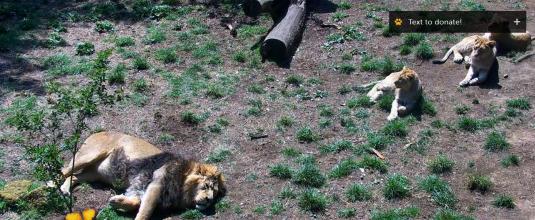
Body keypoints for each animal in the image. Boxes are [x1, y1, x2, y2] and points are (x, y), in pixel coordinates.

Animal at [60, 131, 226, 220]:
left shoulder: (142, 187)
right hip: (89, 156)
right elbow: (146, 210)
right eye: (206, 186)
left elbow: (136, 202)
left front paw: (117, 201)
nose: (209, 200)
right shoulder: (156, 184)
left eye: (215, 193)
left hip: (94, 174)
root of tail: (97, 132)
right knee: (63, 171)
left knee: (74, 176)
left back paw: (65, 189)